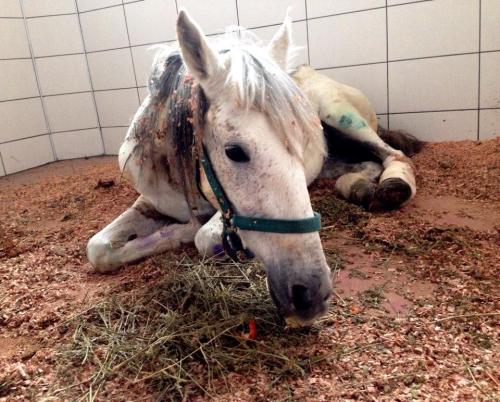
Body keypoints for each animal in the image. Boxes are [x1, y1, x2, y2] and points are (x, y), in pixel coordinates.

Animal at [87, 10, 419, 326]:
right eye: (234, 152)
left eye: (305, 140)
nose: (312, 294)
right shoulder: (152, 201)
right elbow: (98, 249)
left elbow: (202, 237)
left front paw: (185, 231)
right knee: (366, 164)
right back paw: (359, 187)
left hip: (340, 116)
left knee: (394, 156)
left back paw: (391, 188)